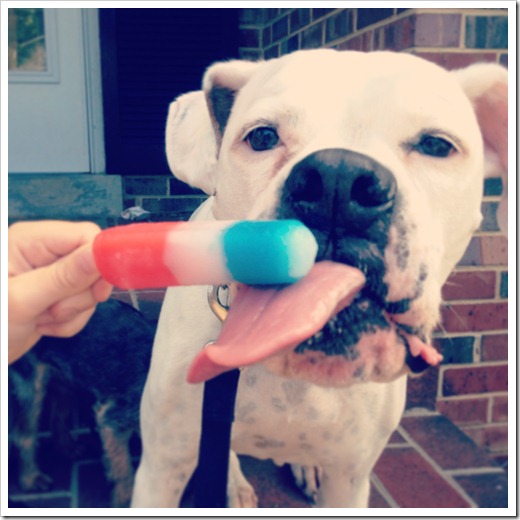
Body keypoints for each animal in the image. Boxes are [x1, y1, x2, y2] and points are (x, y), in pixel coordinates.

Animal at [9, 299, 155, 507]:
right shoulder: (114, 418)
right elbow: (123, 471)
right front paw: (125, 502)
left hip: (68, 374)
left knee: (57, 416)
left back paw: (69, 448)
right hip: (31, 381)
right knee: (25, 432)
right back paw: (31, 479)